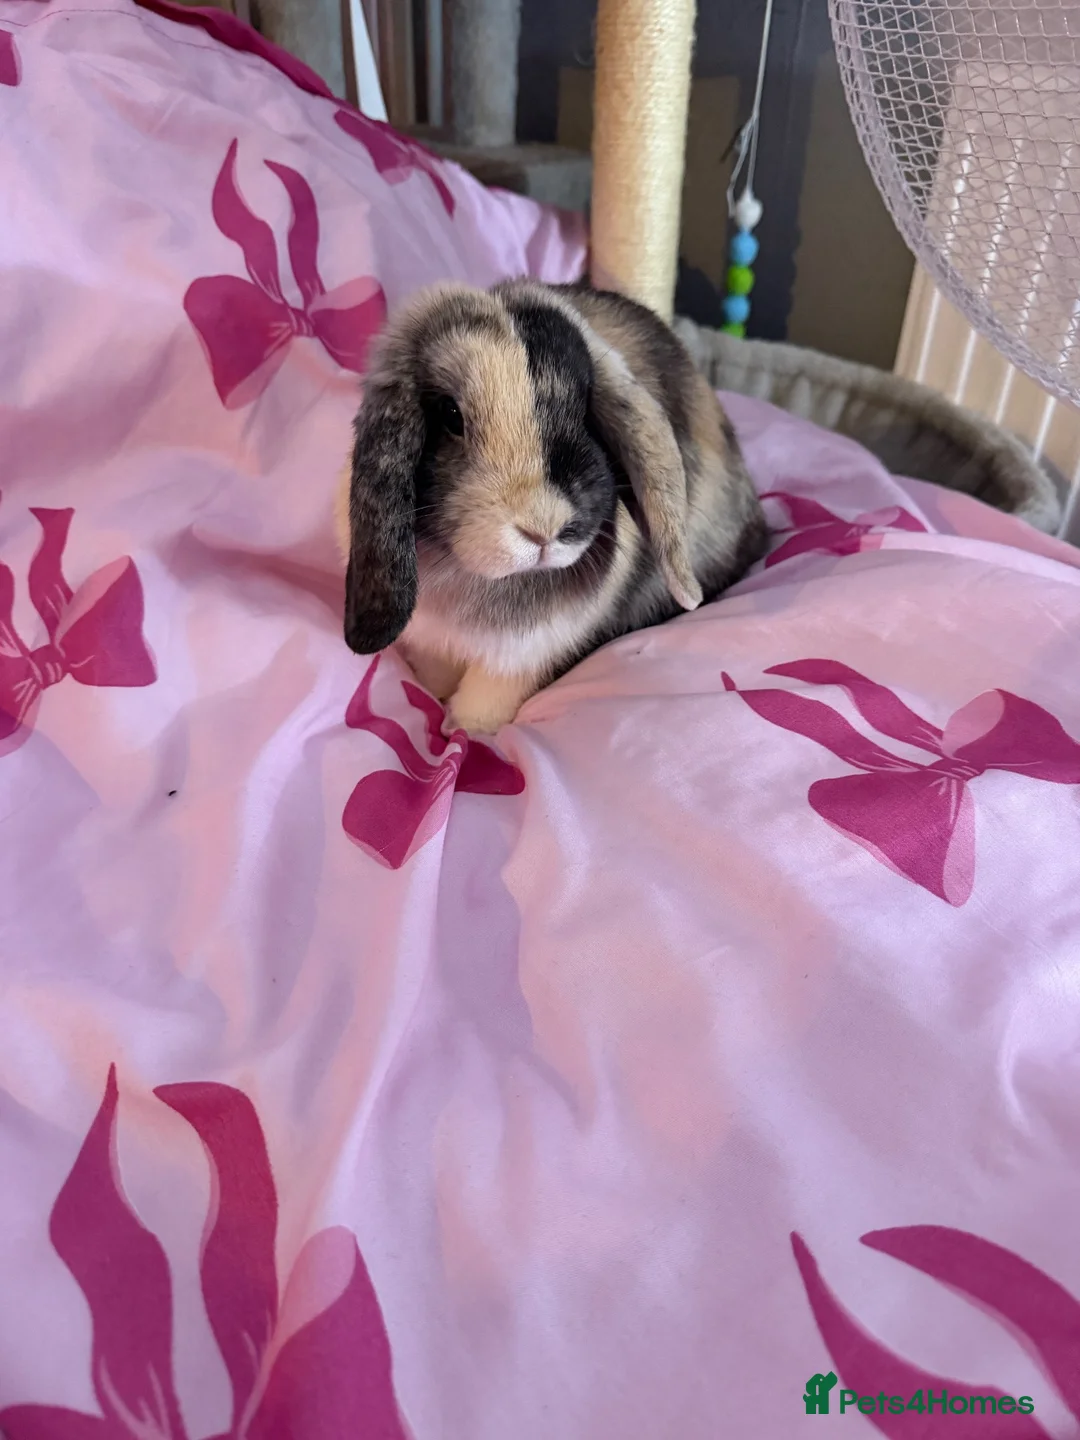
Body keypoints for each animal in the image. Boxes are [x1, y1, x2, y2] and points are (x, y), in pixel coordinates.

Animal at [336, 278, 768, 735]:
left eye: (584, 407)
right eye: (450, 415)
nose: (543, 529)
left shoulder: (523, 658)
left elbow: (486, 696)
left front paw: (466, 730)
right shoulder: (431, 639)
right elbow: (435, 672)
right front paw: (436, 703)